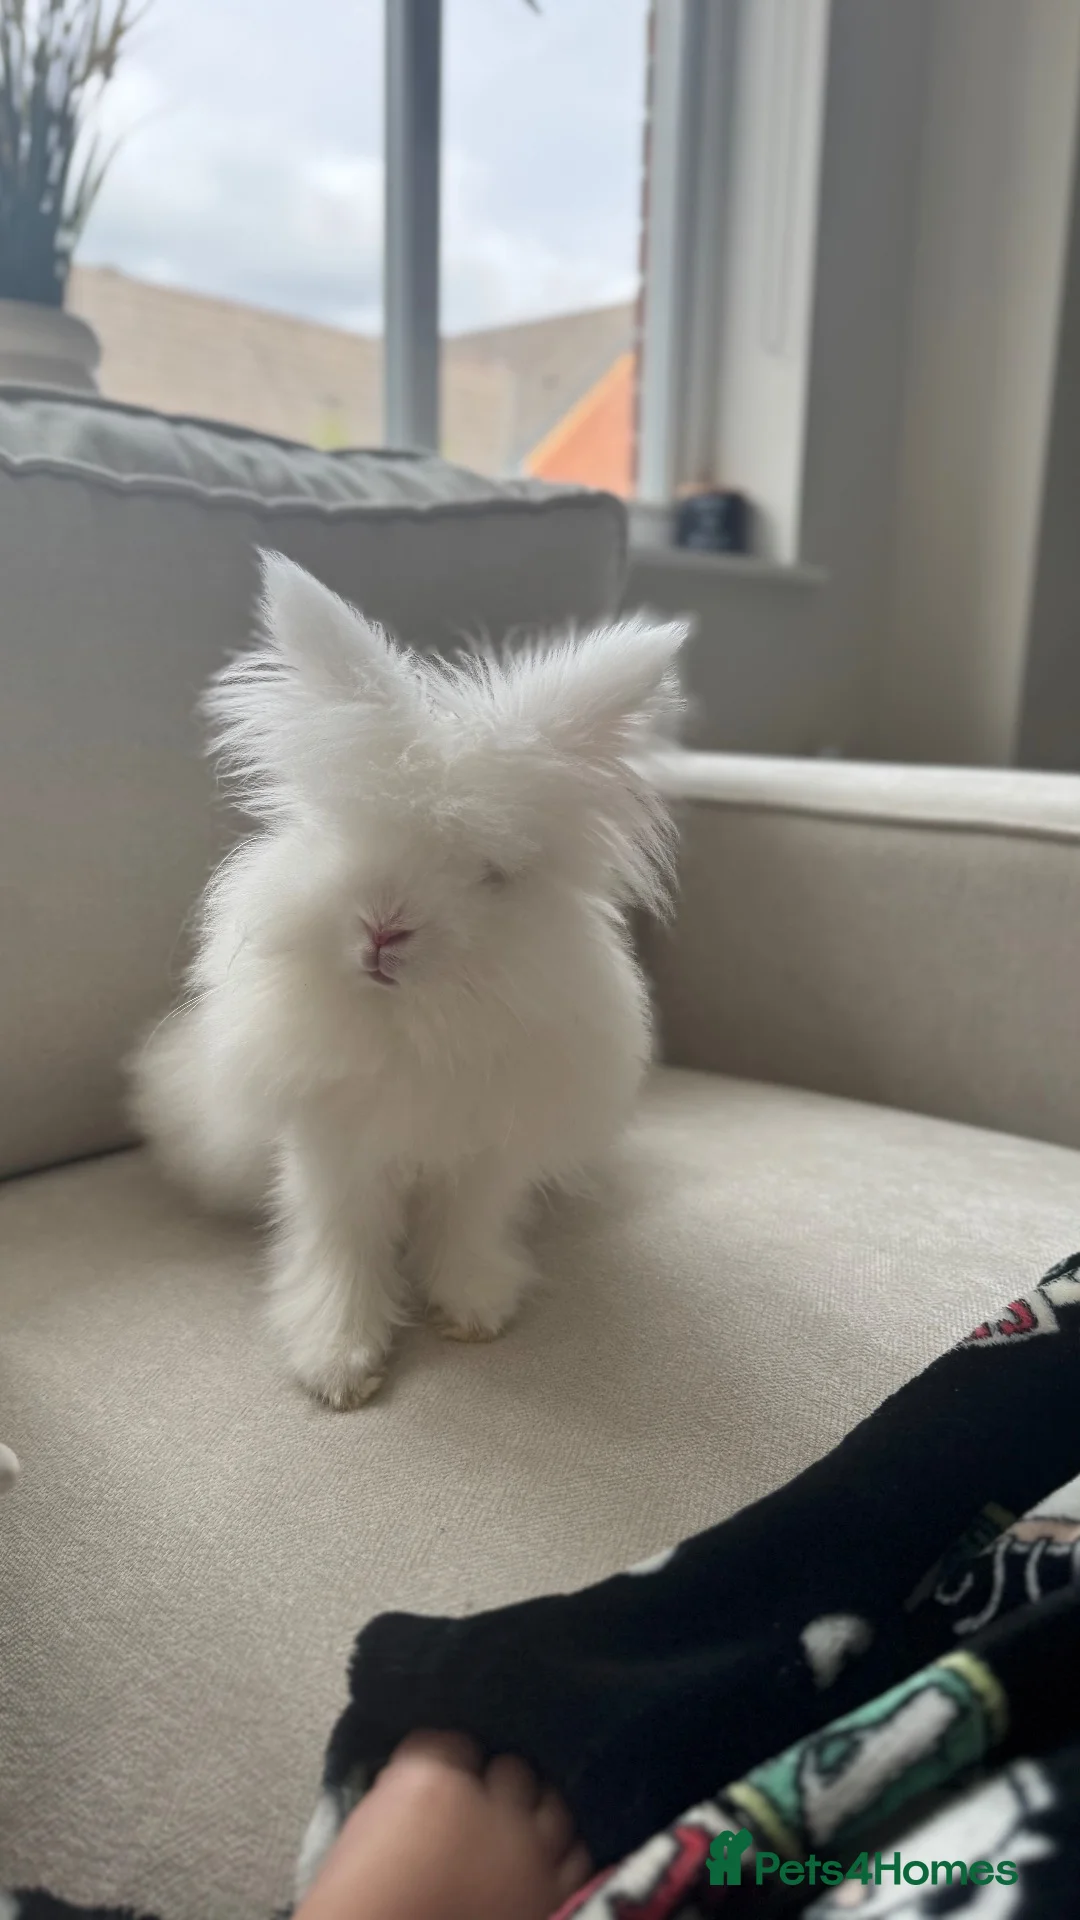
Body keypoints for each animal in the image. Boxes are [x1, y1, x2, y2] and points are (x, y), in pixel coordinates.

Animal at [129, 553, 687, 1408]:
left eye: (492, 875)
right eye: (347, 834)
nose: (384, 929)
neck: (417, 1026)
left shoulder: (488, 1154)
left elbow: (468, 1230)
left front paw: (475, 1311)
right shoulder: (333, 1153)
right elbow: (342, 1246)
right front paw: (337, 1363)